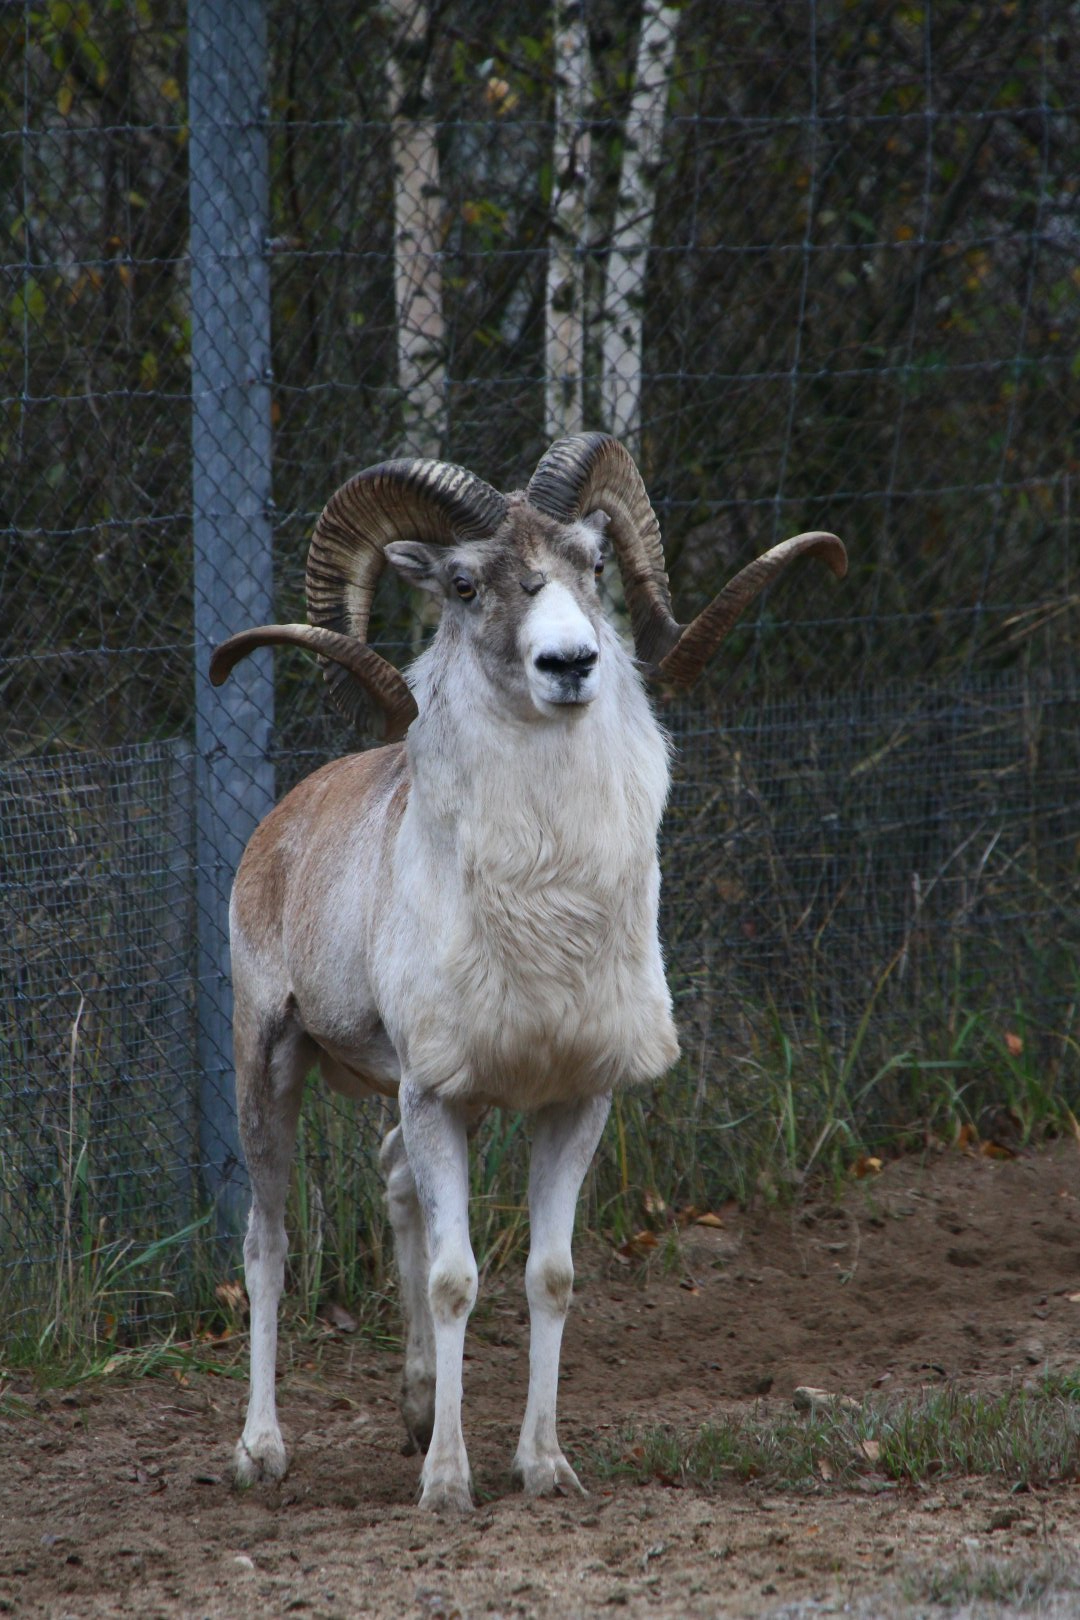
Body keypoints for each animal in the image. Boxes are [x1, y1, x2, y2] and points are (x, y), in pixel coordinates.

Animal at [210, 432, 846, 1512]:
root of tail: (275, 832)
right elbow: (455, 1281)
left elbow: (549, 1276)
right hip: (273, 1066)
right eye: (466, 583)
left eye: (592, 562)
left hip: (405, 1104)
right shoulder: (438, 1099)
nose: (572, 663)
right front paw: (447, 1485)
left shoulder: (569, 1101)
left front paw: (543, 1468)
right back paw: (260, 1452)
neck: (547, 903)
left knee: (394, 1189)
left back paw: (414, 1409)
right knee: (268, 1243)